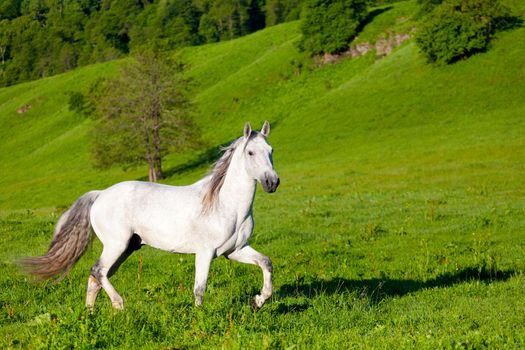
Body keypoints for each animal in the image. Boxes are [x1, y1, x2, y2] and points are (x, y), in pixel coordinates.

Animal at [24, 121, 278, 310]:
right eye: (251, 152)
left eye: (271, 151)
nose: (272, 182)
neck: (226, 206)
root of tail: (100, 195)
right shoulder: (205, 252)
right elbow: (200, 288)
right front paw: (200, 319)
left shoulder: (234, 251)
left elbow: (266, 262)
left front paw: (258, 301)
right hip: (116, 245)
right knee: (98, 271)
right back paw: (119, 306)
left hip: (127, 249)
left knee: (96, 277)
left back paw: (91, 315)